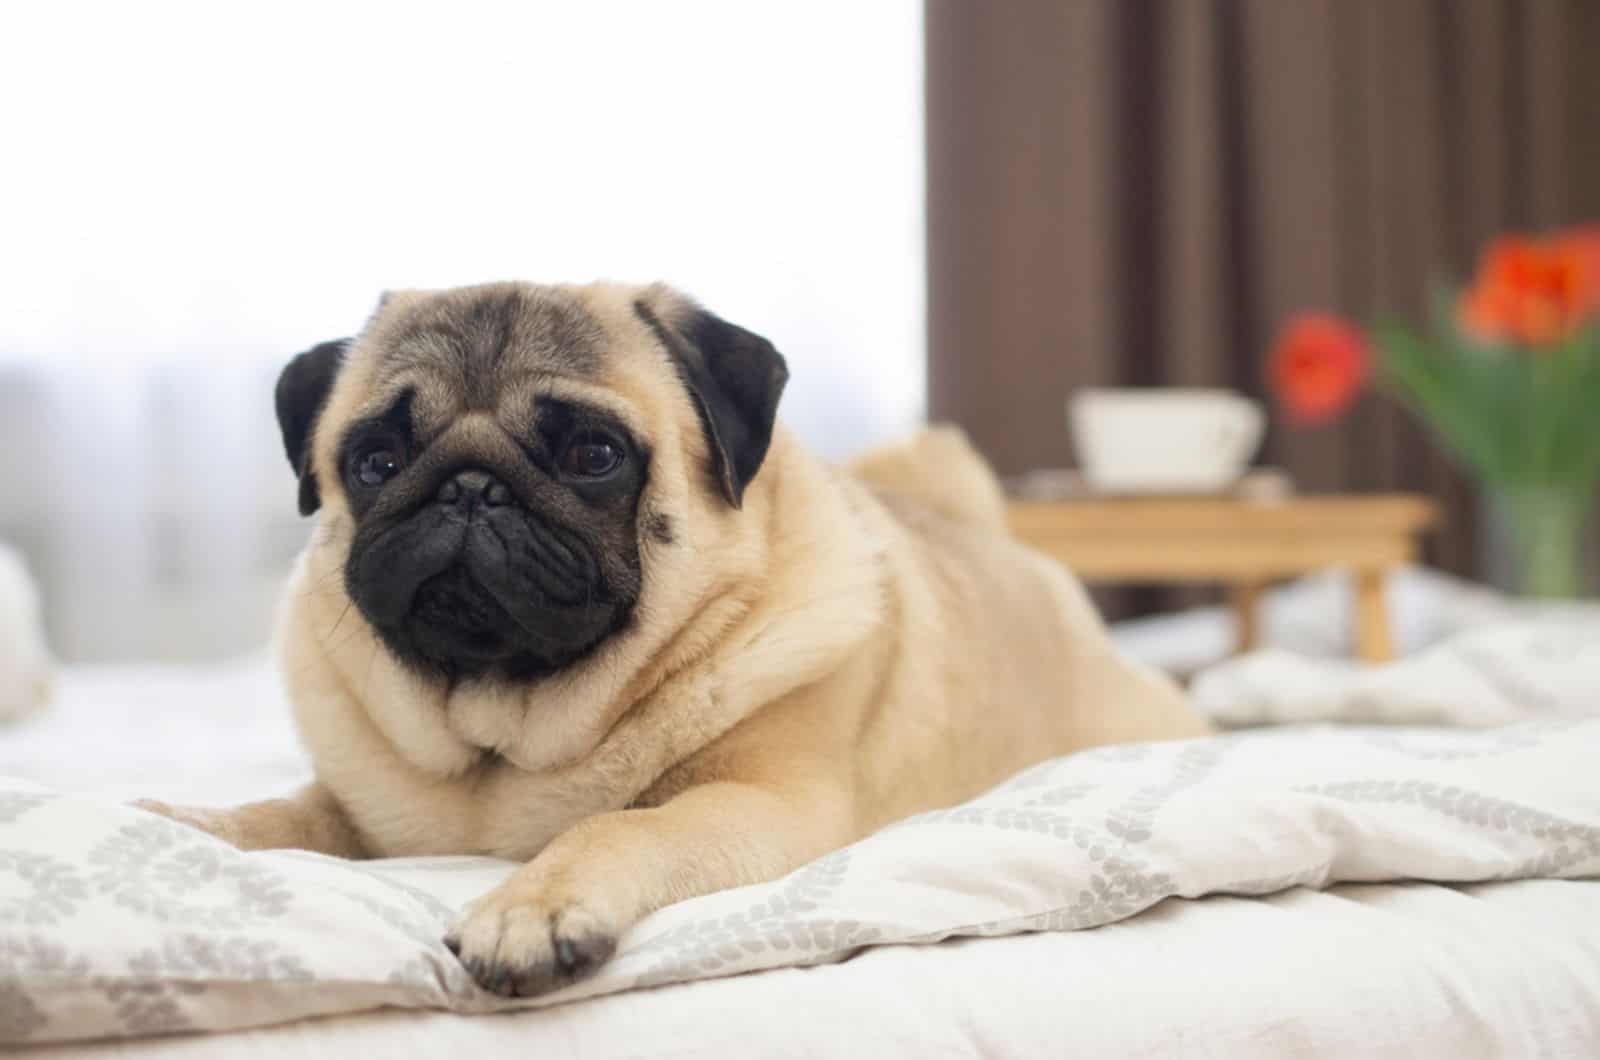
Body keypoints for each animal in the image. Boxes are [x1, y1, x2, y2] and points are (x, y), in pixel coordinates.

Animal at [140, 281, 1209, 999]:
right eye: (375, 461)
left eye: (594, 455)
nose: (468, 487)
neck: (505, 728)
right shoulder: (366, 817)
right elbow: (290, 814)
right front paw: (188, 826)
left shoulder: (760, 804)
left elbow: (619, 826)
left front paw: (531, 907)